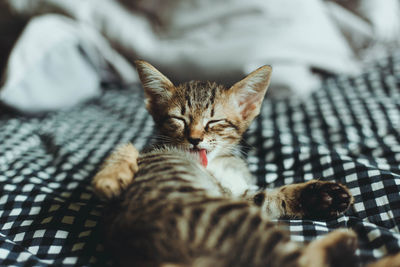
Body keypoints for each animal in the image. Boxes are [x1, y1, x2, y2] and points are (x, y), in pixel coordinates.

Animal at [93, 61, 354, 222]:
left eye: (214, 121)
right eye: (179, 119)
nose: (195, 139)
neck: (214, 163)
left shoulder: (237, 197)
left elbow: (267, 198)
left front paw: (322, 197)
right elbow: (127, 150)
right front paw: (112, 175)